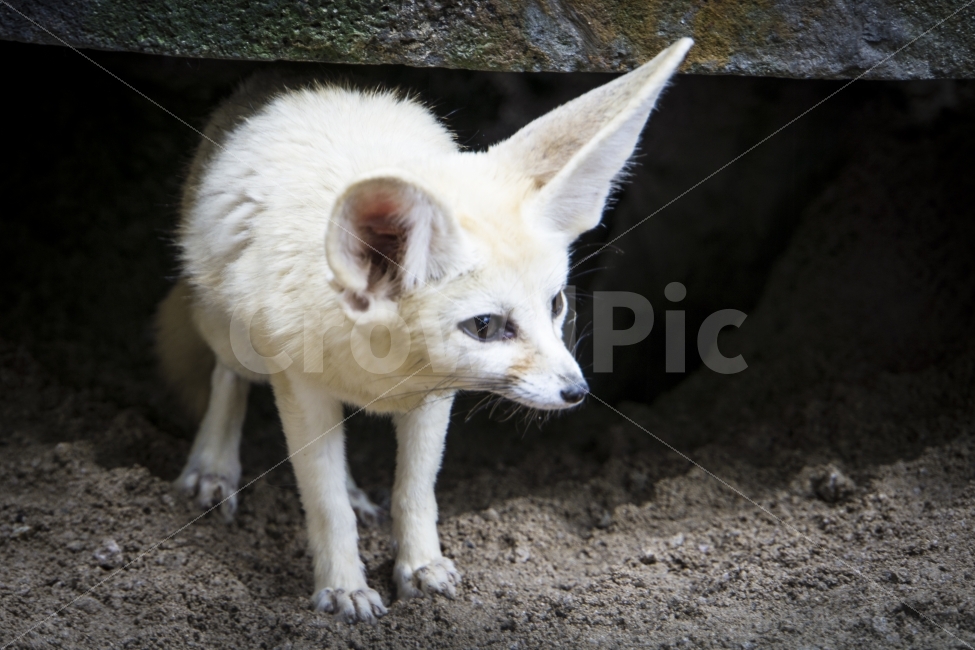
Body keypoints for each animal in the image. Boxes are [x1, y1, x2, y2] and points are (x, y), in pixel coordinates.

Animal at [154, 38, 692, 623]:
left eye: (556, 304)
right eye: (486, 326)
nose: (577, 392)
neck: (386, 368)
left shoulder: (434, 397)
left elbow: (415, 489)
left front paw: (419, 566)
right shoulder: (300, 386)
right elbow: (324, 502)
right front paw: (342, 586)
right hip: (235, 335)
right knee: (227, 376)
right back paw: (213, 467)